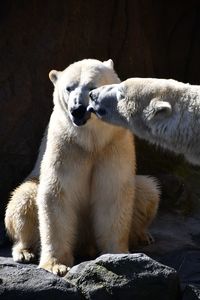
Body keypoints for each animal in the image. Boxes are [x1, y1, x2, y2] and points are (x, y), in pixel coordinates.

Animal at [4, 60, 159, 276]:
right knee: (23, 199)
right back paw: (24, 252)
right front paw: (56, 265)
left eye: (92, 88)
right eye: (69, 88)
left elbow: (113, 193)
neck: (90, 139)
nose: (77, 109)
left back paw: (143, 236)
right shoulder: (66, 146)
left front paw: (118, 255)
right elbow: (57, 194)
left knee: (148, 190)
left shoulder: (113, 144)